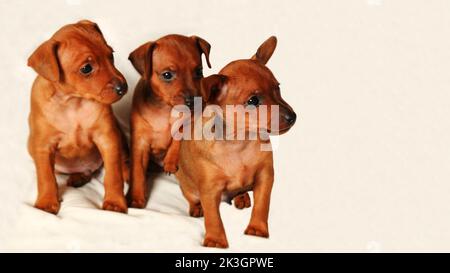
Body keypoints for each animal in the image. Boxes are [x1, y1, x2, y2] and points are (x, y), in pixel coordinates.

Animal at [27, 20, 128, 214]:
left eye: (111, 55)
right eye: (86, 68)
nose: (123, 88)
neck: (74, 102)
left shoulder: (108, 139)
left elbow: (113, 175)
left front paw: (115, 202)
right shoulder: (43, 146)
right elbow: (45, 177)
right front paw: (46, 202)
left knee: (122, 160)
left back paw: (126, 171)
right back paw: (78, 177)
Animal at [126, 35, 211, 207]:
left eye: (199, 71)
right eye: (167, 75)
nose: (194, 101)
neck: (165, 109)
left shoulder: (190, 121)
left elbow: (178, 137)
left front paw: (171, 161)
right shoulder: (140, 142)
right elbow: (137, 171)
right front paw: (136, 198)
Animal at [175, 36, 296, 246]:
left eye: (278, 88)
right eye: (253, 101)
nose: (293, 117)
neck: (239, 143)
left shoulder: (265, 176)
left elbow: (262, 205)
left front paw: (257, 229)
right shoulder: (209, 189)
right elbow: (213, 217)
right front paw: (215, 240)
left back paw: (242, 198)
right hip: (186, 185)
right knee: (192, 198)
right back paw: (197, 208)